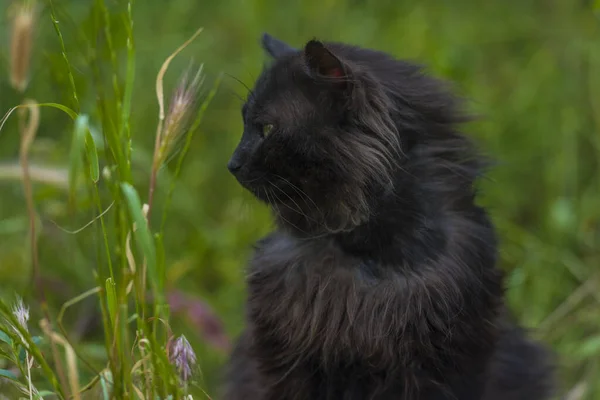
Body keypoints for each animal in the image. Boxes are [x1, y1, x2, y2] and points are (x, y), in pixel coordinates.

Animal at [223, 32, 556, 398]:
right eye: (244, 124)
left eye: (267, 128)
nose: (232, 164)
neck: (369, 260)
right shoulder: (284, 361)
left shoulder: (447, 365)